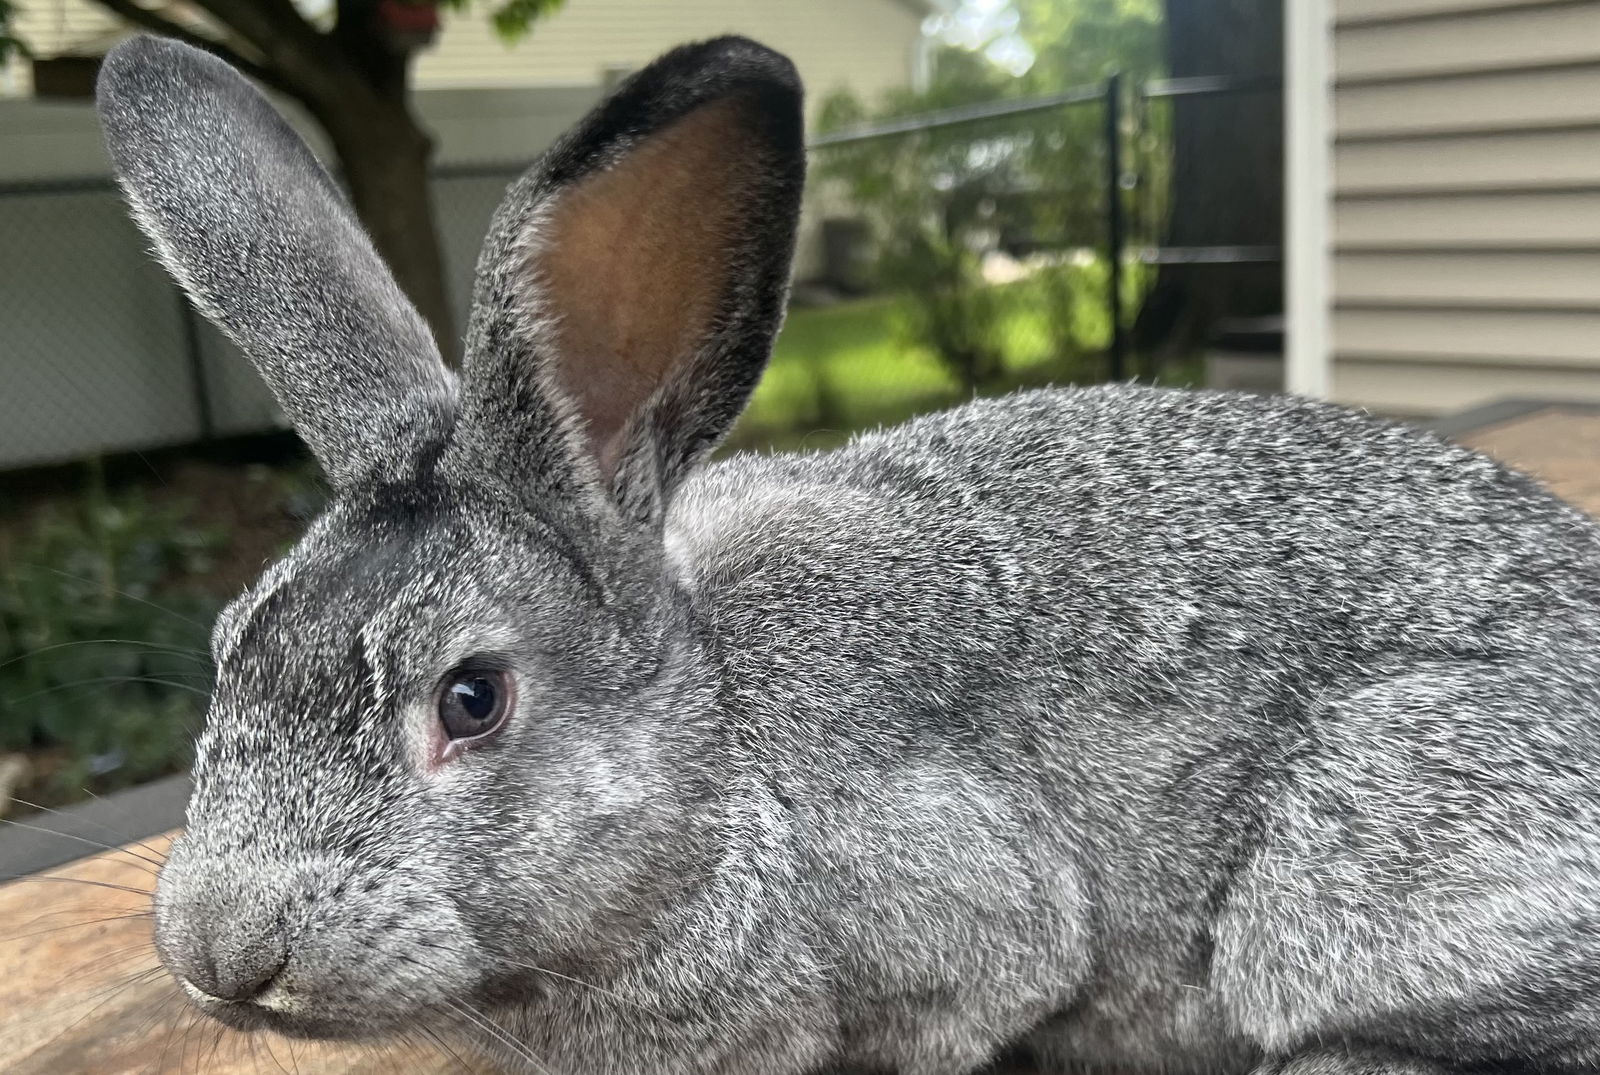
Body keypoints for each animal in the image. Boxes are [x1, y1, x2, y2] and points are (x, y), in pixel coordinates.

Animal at [90, 23, 1600, 1075]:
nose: (222, 947)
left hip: (1365, 858)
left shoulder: (971, 935)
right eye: (229, 648)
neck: (713, 752)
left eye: (472, 697)